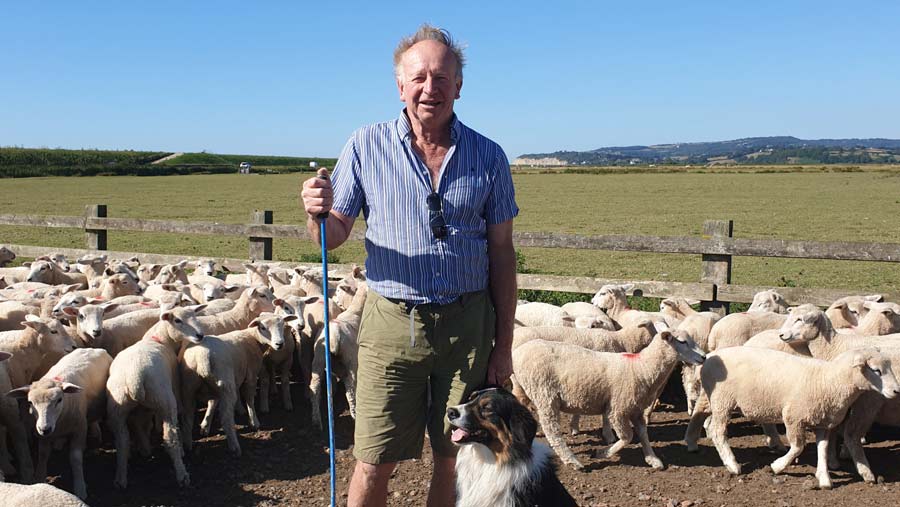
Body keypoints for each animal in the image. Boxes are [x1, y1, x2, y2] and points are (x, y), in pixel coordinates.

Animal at [8, 350, 112, 500]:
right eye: (30, 402)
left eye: (59, 400)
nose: (45, 429)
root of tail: (93, 348)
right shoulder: (43, 435)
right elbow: (43, 454)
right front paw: (39, 477)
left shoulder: (79, 429)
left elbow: (75, 458)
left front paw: (80, 487)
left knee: (92, 420)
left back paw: (95, 433)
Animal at [104, 304, 207, 490]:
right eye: (177, 320)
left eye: (195, 315)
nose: (200, 335)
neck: (159, 339)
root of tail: (135, 377)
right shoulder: (174, 385)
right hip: (164, 400)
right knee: (170, 438)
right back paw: (182, 474)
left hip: (117, 407)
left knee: (122, 442)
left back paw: (121, 479)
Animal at [179, 314, 296, 456]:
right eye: (263, 327)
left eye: (283, 325)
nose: (279, 344)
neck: (253, 338)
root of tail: (201, 358)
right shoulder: (251, 374)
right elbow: (249, 399)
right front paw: (254, 421)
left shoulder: (228, 380)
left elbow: (212, 402)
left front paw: (205, 425)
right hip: (224, 383)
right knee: (226, 418)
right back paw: (234, 447)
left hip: (188, 387)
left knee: (188, 417)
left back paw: (187, 445)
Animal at [512, 332, 704, 470]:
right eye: (682, 341)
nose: (703, 357)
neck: (641, 368)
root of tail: (517, 353)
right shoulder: (618, 409)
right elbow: (627, 437)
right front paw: (602, 453)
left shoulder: (636, 410)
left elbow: (643, 434)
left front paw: (653, 459)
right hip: (545, 393)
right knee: (552, 430)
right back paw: (573, 461)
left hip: (525, 390)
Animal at [684, 348, 896, 490]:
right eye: (876, 370)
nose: (896, 390)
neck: (827, 380)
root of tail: (710, 356)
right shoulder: (794, 417)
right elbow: (797, 447)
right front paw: (777, 466)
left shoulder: (823, 423)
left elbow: (823, 449)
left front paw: (824, 479)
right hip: (723, 400)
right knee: (717, 431)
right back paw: (732, 465)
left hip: (711, 397)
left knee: (699, 414)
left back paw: (691, 441)